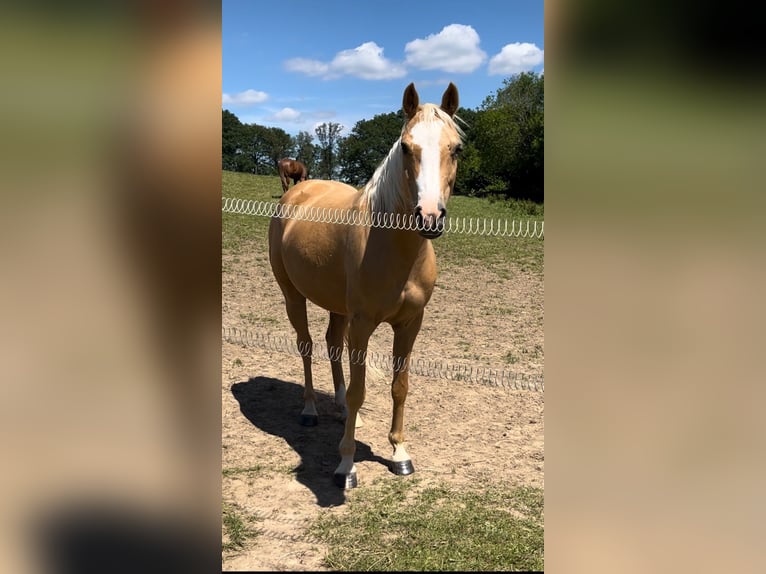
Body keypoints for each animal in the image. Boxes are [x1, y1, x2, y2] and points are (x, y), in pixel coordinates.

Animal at [268, 82, 462, 489]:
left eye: (456, 148)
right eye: (406, 147)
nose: (429, 217)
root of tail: (297, 191)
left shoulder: (410, 324)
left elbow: (399, 386)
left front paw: (400, 453)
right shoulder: (362, 325)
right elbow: (360, 390)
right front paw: (346, 465)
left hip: (337, 308)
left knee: (331, 345)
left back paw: (342, 410)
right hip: (293, 296)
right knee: (306, 346)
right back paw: (310, 410)